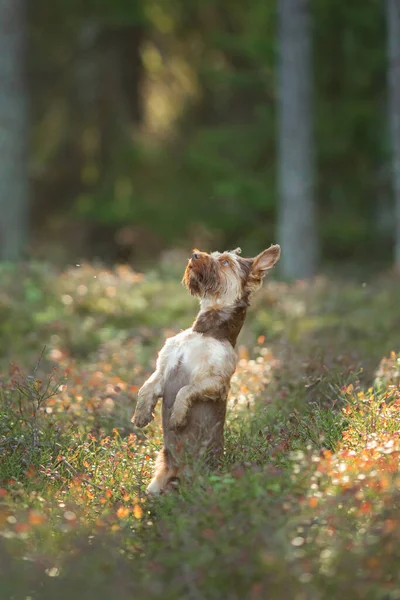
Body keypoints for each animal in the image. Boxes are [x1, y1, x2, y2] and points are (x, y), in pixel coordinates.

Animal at [132, 243, 282, 492]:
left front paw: (177, 417)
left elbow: (185, 390)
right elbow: (145, 388)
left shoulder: (216, 382)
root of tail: (177, 473)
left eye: (225, 262)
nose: (194, 254)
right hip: (154, 485)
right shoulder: (162, 370)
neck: (205, 331)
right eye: (214, 255)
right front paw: (141, 414)